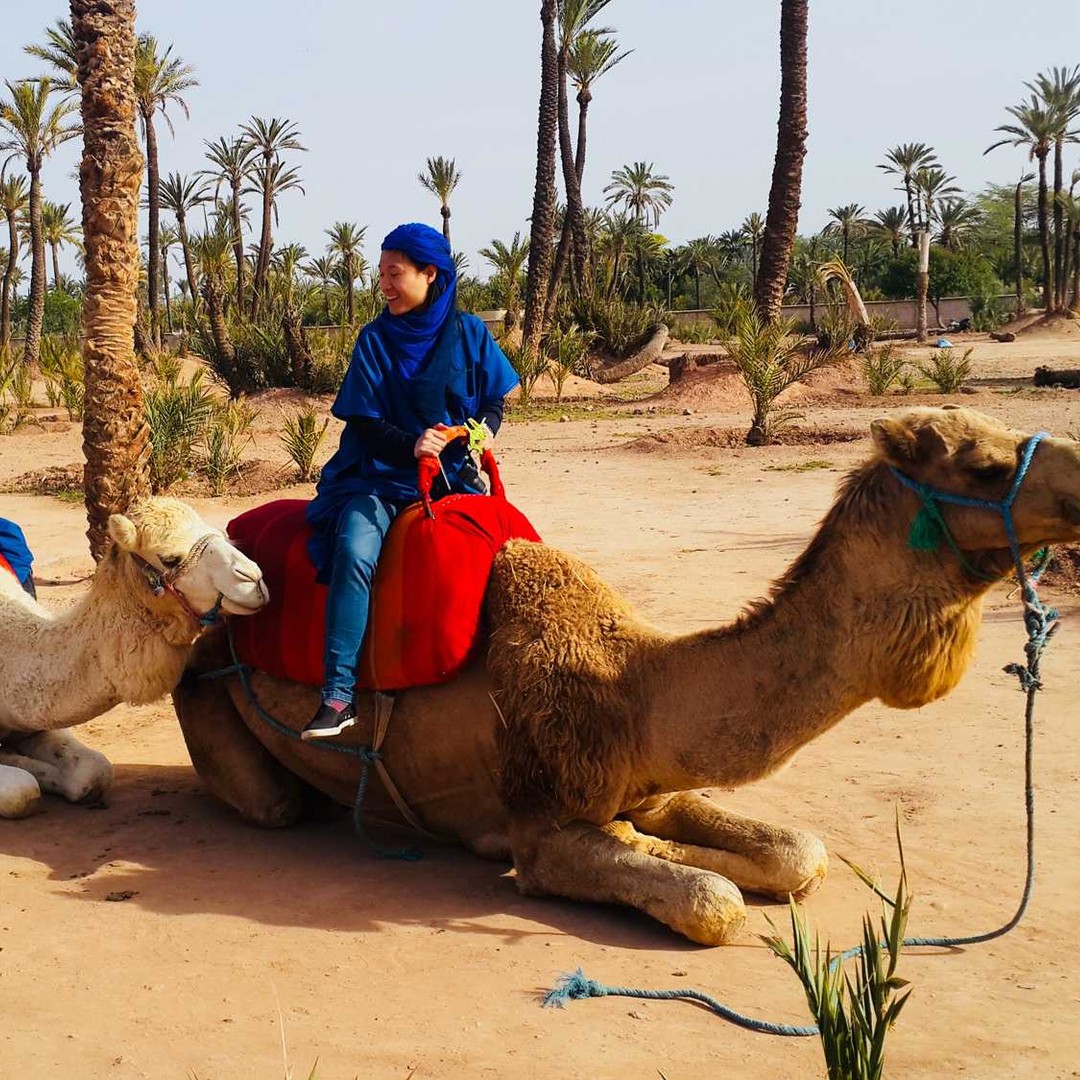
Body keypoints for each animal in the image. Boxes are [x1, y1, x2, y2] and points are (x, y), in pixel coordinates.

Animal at [0, 497, 268, 819]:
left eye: (220, 533)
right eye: (169, 558)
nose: (253, 578)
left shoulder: (30, 724)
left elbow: (95, 771)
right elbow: (20, 790)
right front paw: (14, 761)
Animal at [173, 407, 1080, 945]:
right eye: (984, 466)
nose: (1079, 485)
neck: (633, 686)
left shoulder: (653, 782)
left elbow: (799, 853)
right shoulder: (545, 823)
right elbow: (710, 902)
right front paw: (670, 867)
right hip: (209, 701)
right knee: (278, 802)